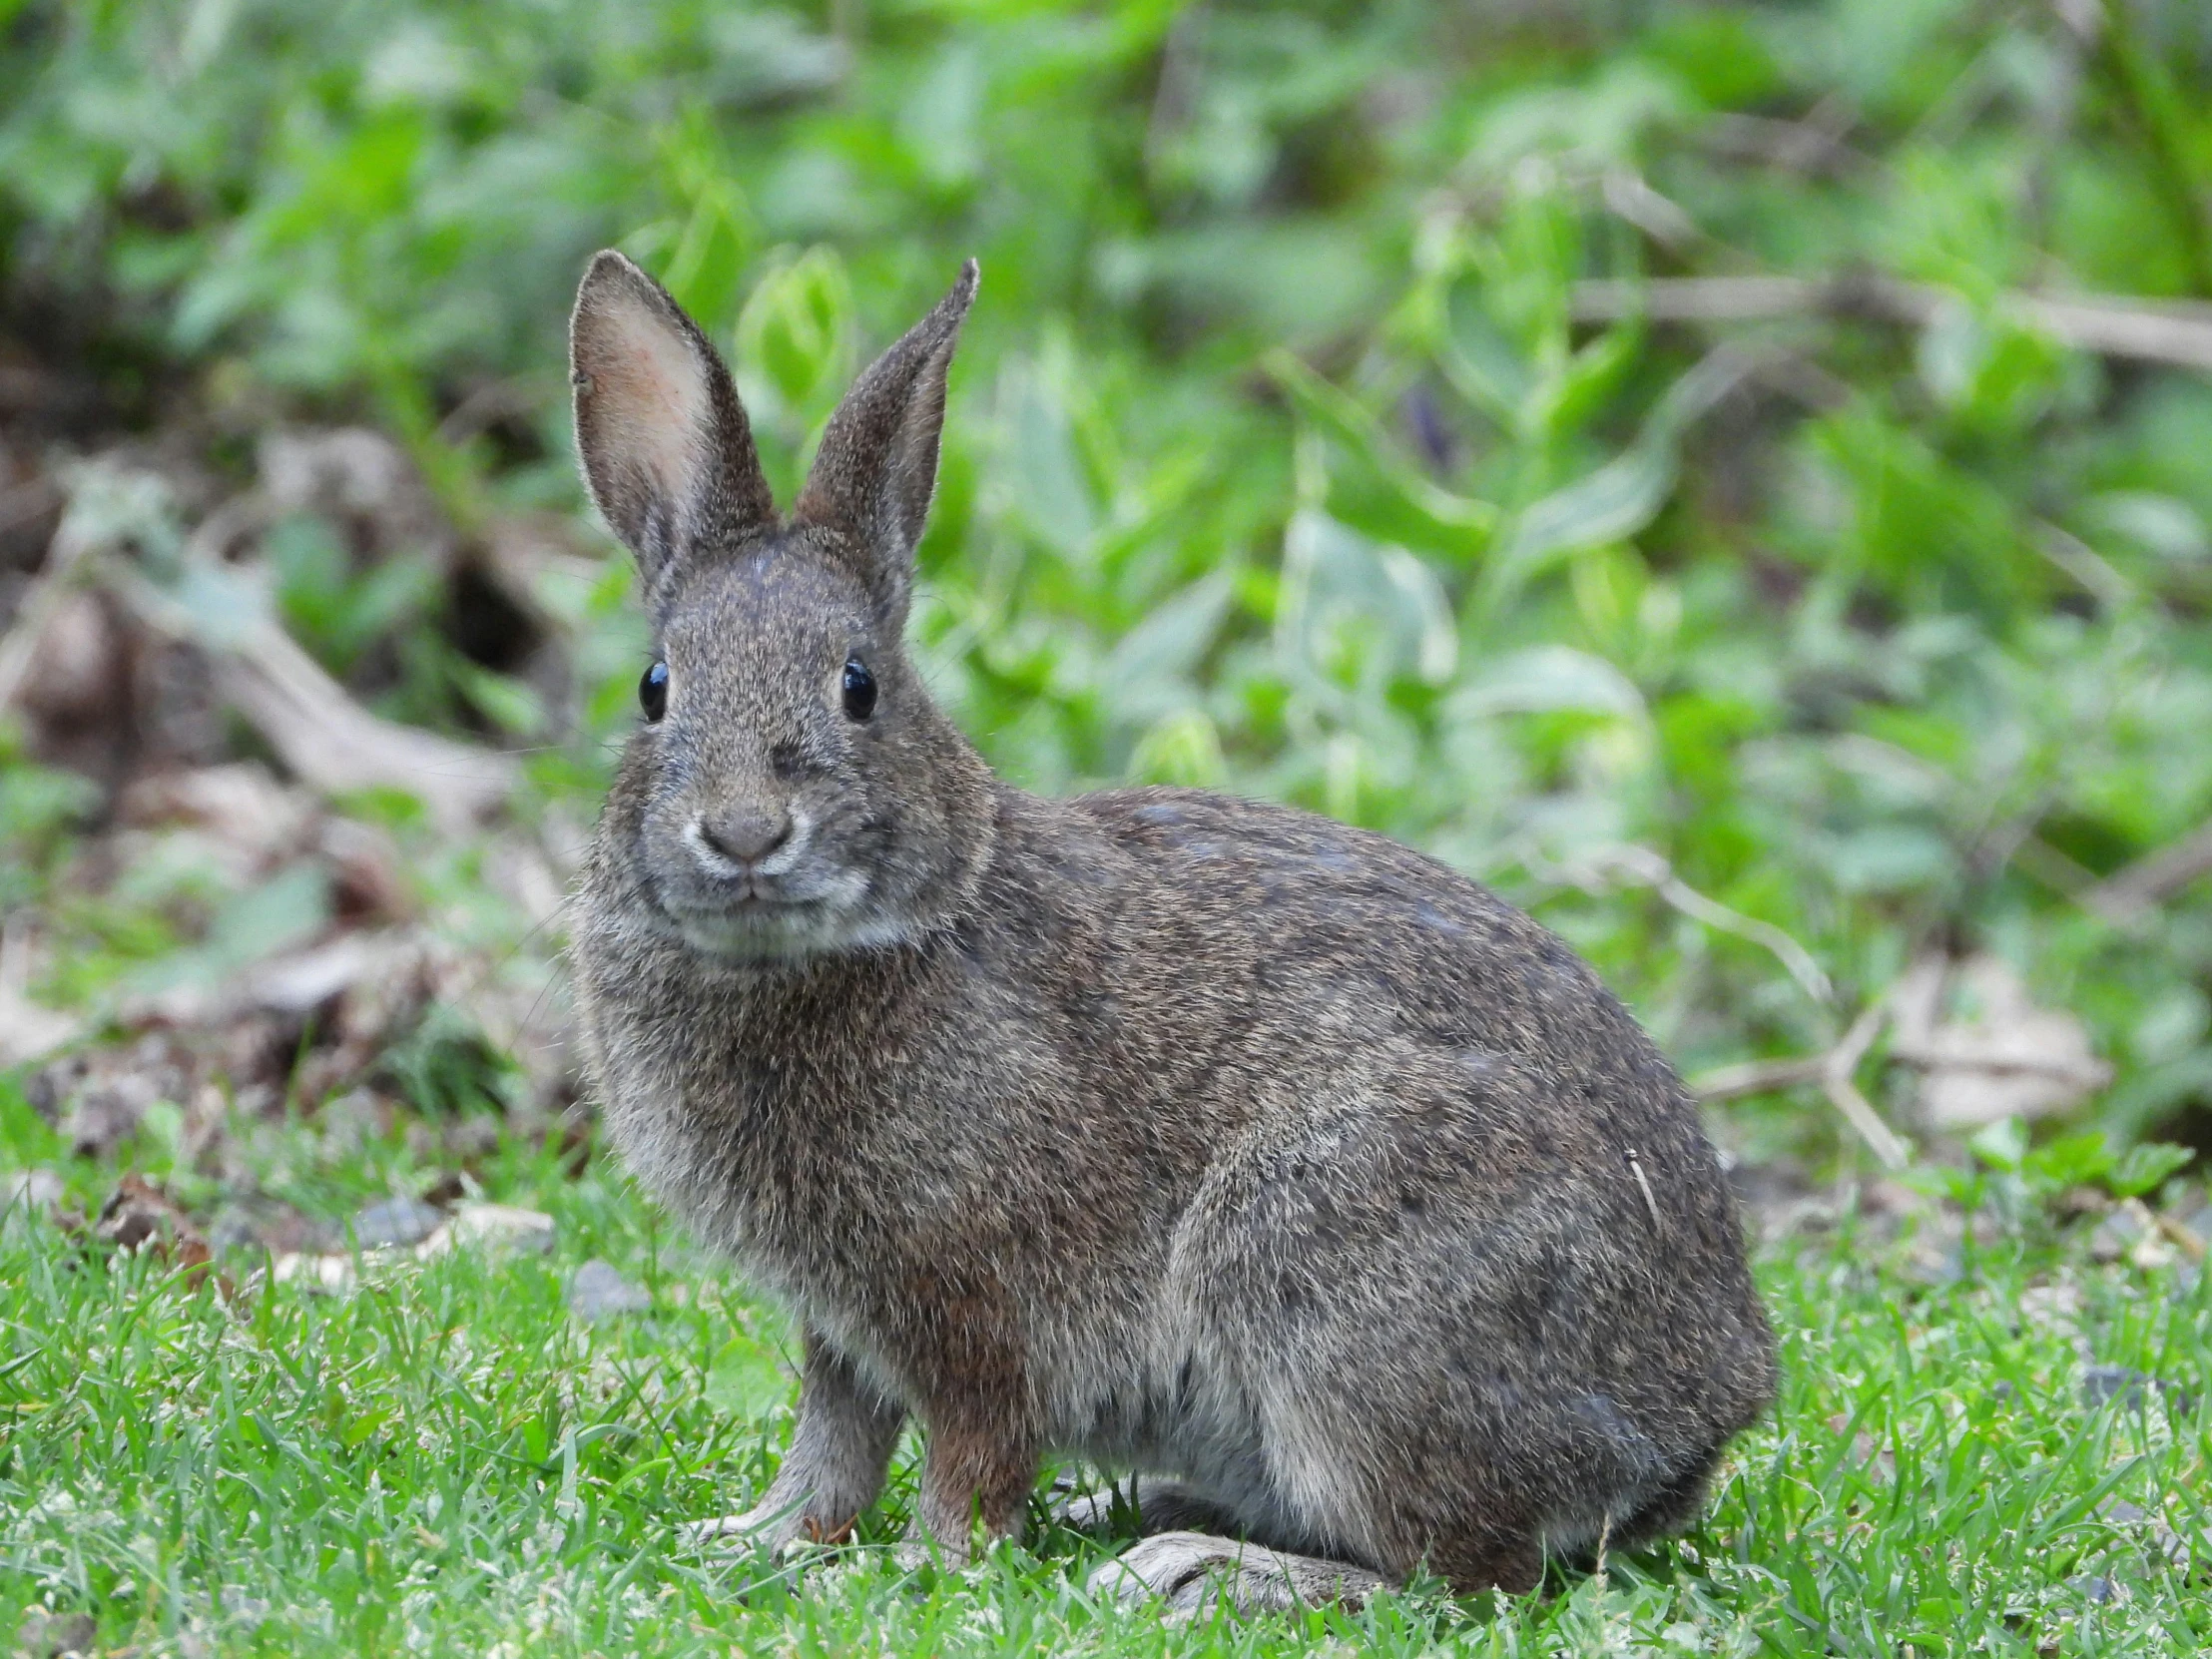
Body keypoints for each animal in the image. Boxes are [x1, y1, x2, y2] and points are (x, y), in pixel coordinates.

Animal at [566, 253, 1778, 1619]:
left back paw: (1197, 1567)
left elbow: (968, 1453)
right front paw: (758, 1538)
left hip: (1329, 1273)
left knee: (1461, 1572)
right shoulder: (845, 1321)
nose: (742, 833)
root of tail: (1700, 1419)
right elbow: (833, 1442)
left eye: (859, 686)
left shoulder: (978, 1304)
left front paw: (935, 1567)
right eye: (656, 689)